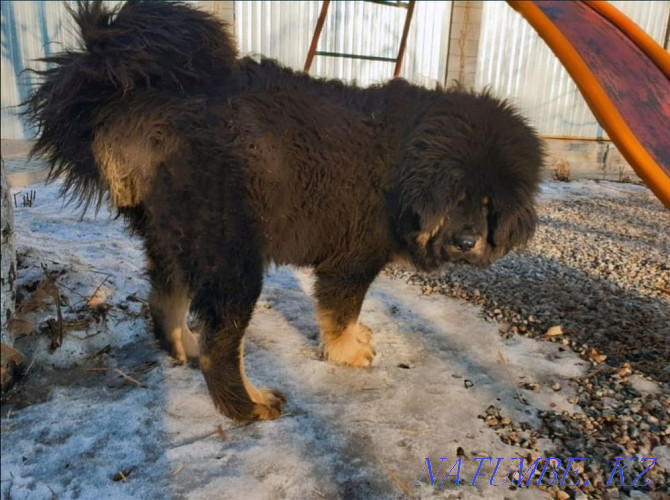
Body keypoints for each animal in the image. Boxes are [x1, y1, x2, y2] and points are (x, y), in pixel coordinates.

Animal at [25, 0, 544, 422]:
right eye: (455, 197)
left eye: (490, 204)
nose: (467, 243)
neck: (408, 166)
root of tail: (143, 105)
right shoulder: (351, 260)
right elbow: (340, 313)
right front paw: (347, 353)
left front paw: (358, 339)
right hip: (231, 259)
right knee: (220, 350)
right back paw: (249, 406)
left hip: (174, 242)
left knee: (164, 304)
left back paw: (184, 348)